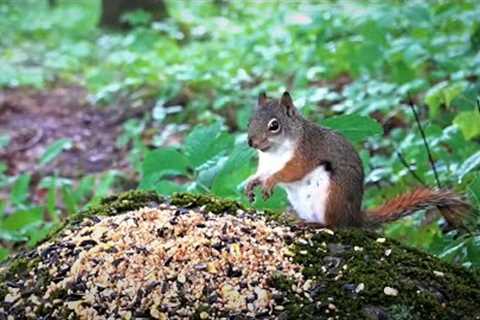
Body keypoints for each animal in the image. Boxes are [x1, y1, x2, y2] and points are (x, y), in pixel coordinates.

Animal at [246, 91, 470, 229]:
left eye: (274, 125)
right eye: (250, 121)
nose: (251, 142)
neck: (274, 153)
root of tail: (354, 217)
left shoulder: (306, 153)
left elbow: (291, 171)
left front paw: (271, 182)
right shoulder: (266, 164)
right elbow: (261, 174)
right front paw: (251, 183)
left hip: (332, 195)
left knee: (334, 225)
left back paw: (316, 224)